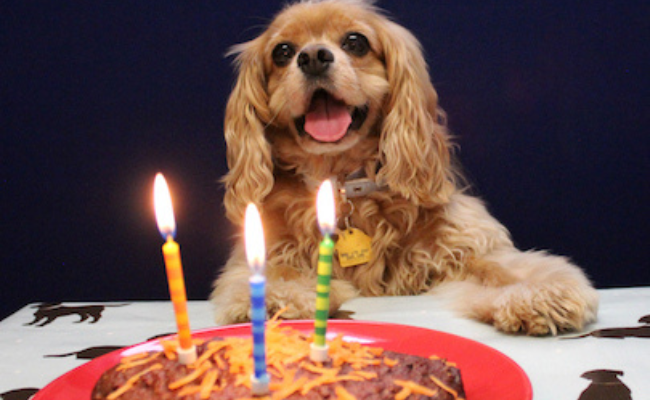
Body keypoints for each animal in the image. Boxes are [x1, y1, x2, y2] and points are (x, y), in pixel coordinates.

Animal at [210, 0, 596, 336]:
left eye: (356, 42)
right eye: (283, 52)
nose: (313, 57)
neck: (343, 184)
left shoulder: (467, 248)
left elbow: (505, 268)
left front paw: (540, 294)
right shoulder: (263, 249)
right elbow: (279, 272)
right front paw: (277, 298)